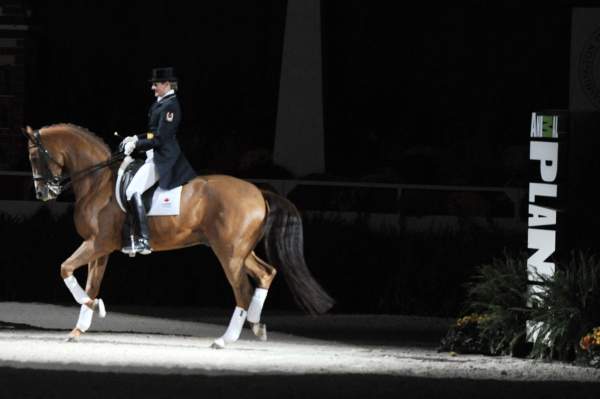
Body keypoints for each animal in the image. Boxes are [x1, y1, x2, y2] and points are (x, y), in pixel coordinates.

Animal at [24, 123, 332, 348]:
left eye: (34, 157)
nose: (42, 193)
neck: (97, 183)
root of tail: (258, 191)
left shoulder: (96, 244)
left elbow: (65, 269)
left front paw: (95, 309)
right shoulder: (100, 249)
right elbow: (90, 284)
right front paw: (81, 326)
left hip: (229, 253)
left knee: (243, 289)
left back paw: (225, 339)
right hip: (240, 251)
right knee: (266, 273)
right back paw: (257, 326)